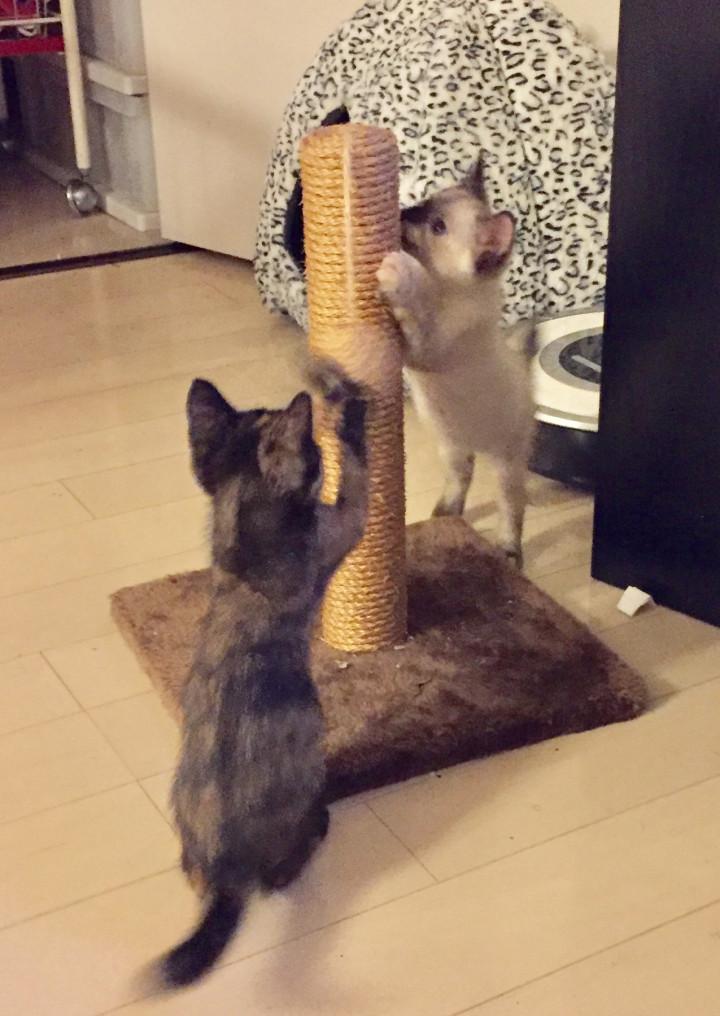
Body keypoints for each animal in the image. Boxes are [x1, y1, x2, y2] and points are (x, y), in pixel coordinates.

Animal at [153, 362, 368, 989]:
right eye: (313, 452)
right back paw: (317, 826)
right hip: (307, 770)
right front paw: (349, 409)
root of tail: (225, 868)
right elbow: (359, 470)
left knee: (193, 872)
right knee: (280, 873)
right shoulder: (342, 524)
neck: (239, 521)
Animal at [377, 159, 535, 566]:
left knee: (512, 506)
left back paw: (508, 552)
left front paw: (395, 273)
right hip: (452, 448)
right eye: (424, 205)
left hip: (505, 461)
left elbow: (412, 311)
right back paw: (443, 515)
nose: (403, 212)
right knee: (461, 479)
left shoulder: (425, 349)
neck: (441, 290)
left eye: (438, 228)